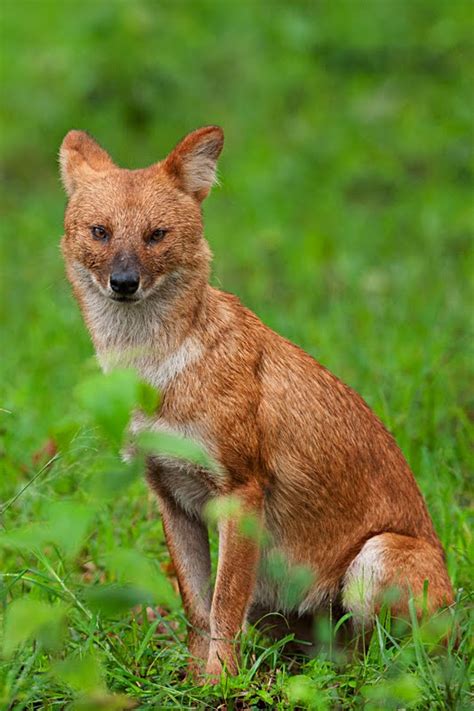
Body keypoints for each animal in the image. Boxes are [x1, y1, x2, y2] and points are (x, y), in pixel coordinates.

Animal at [61, 126, 454, 680]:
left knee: (386, 663)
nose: (124, 282)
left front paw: (219, 683)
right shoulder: (170, 495)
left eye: (156, 235)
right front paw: (191, 679)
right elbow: (196, 606)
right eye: (100, 232)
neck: (155, 369)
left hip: (375, 557)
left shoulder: (241, 491)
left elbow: (224, 603)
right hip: (277, 602)